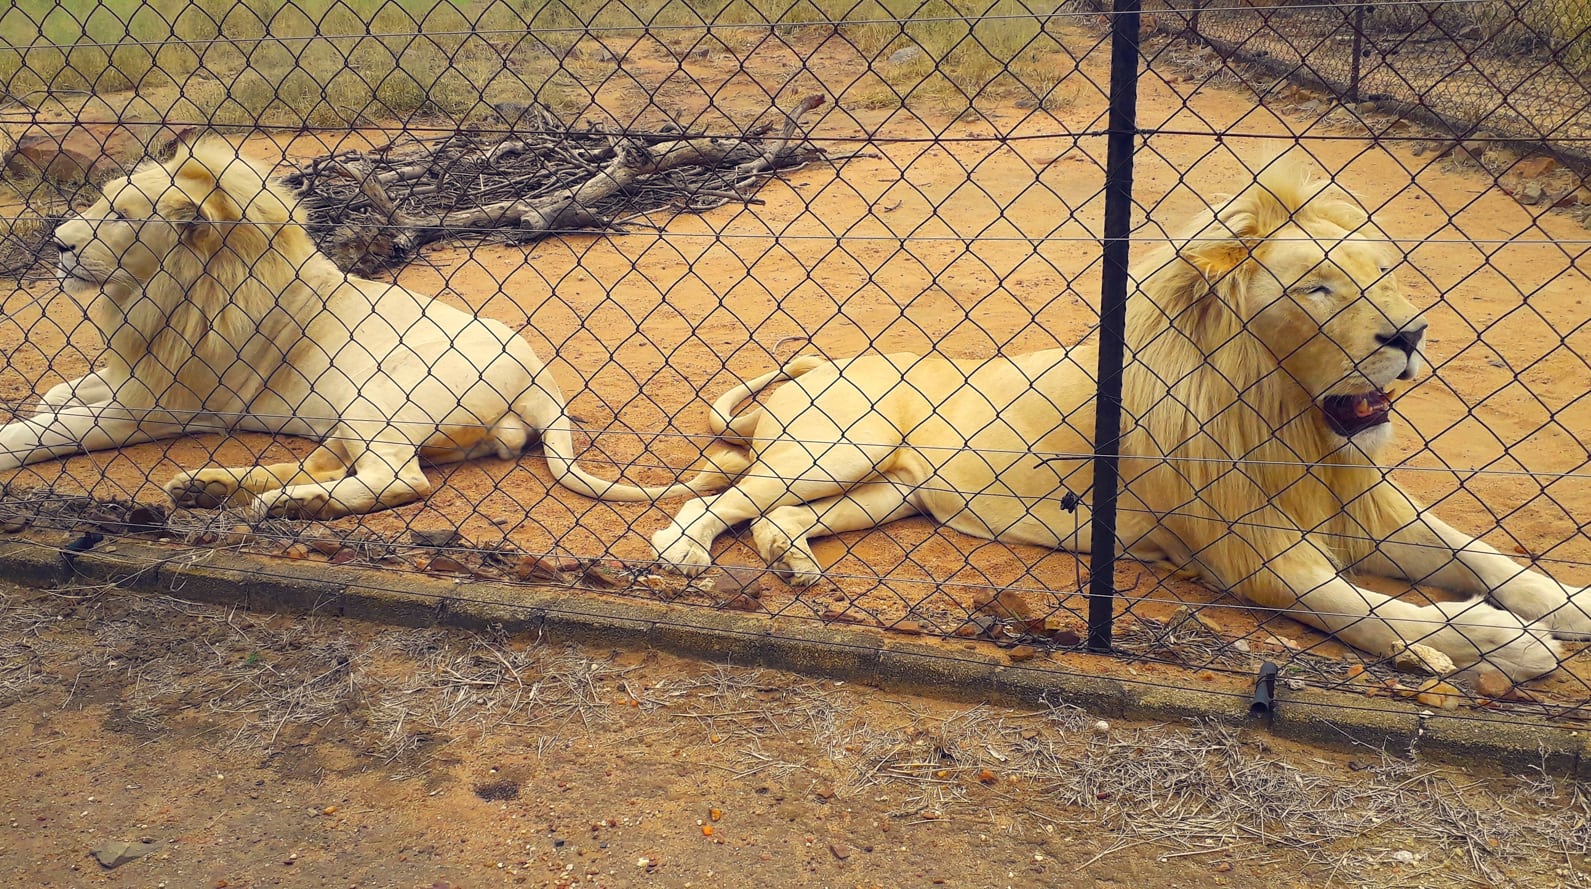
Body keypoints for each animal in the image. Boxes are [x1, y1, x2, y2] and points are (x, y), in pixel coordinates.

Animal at [10, 137, 713, 517]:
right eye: (100, 206)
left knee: (398, 480)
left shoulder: (171, 405)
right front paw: (59, 392)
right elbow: (77, 388)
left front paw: (22, 432)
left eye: (122, 217)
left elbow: (44, 431)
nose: (59, 244)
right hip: (355, 413)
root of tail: (544, 380)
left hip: (381, 392)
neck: (168, 293)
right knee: (332, 462)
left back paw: (288, 506)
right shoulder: (146, 370)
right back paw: (208, 490)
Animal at [651, 157, 1586, 681]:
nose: (1410, 334)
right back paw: (686, 553)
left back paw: (797, 564)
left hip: (892, 490)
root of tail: (825, 357)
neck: (1290, 421)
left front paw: (1564, 602)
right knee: (718, 501)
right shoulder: (1250, 551)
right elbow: (1372, 610)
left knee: (775, 517)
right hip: (841, 446)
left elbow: (1480, 553)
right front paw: (1507, 641)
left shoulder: (1359, 504)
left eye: (1381, 271)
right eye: (1319, 287)